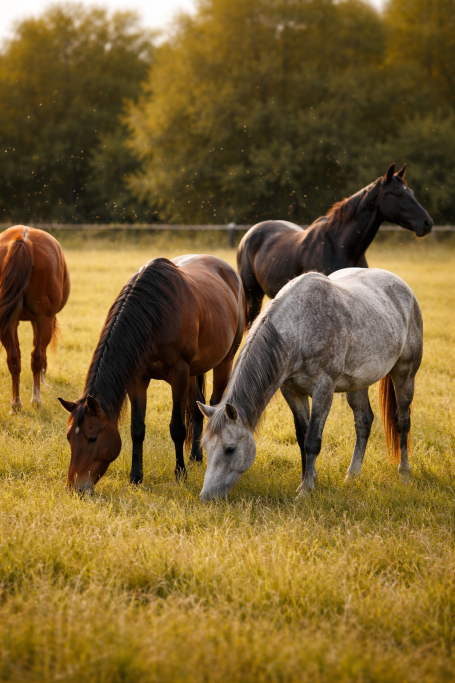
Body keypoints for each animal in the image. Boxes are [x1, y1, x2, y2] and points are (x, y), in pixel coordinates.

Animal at [0, 226, 70, 413]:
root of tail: (22, 239)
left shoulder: (16, 321)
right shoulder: (41, 320)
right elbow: (40, 353)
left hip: (8, 322)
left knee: (13, 358)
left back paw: (15, 403)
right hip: (44, 319)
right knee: (36, 356)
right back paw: (36, 400)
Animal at [58, 254, 245, 492]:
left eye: (92, 438)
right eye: (68, 437)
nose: (75, 487)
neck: (155, 316)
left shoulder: (179, 375)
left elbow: (177, 428)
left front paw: (180, 474)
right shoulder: (138, 380)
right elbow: (137, 429)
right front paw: (135, 477)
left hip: (224, 361)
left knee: (213, 403)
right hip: (195, 370)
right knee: (197, 408)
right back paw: (195, 457)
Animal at [197, 267, 423, 501]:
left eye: (230, 449)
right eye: (205, 446)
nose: (207, 497)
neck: (299, 329)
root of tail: (402, 286)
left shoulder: (324, 388)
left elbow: (312, 440)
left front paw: (305, 490)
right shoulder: (292, 391)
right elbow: (301, 437)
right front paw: (309, 478)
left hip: (405, 374)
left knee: (402, 421)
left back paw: (404, 474)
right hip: (357, 384)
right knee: (363, 422)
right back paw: (352, 476)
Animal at [237, 163, 433, 326]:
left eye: (412, 192)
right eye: (398, 194)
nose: (427, 223)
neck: (340, 246)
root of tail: (250, 234)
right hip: (253, 295)